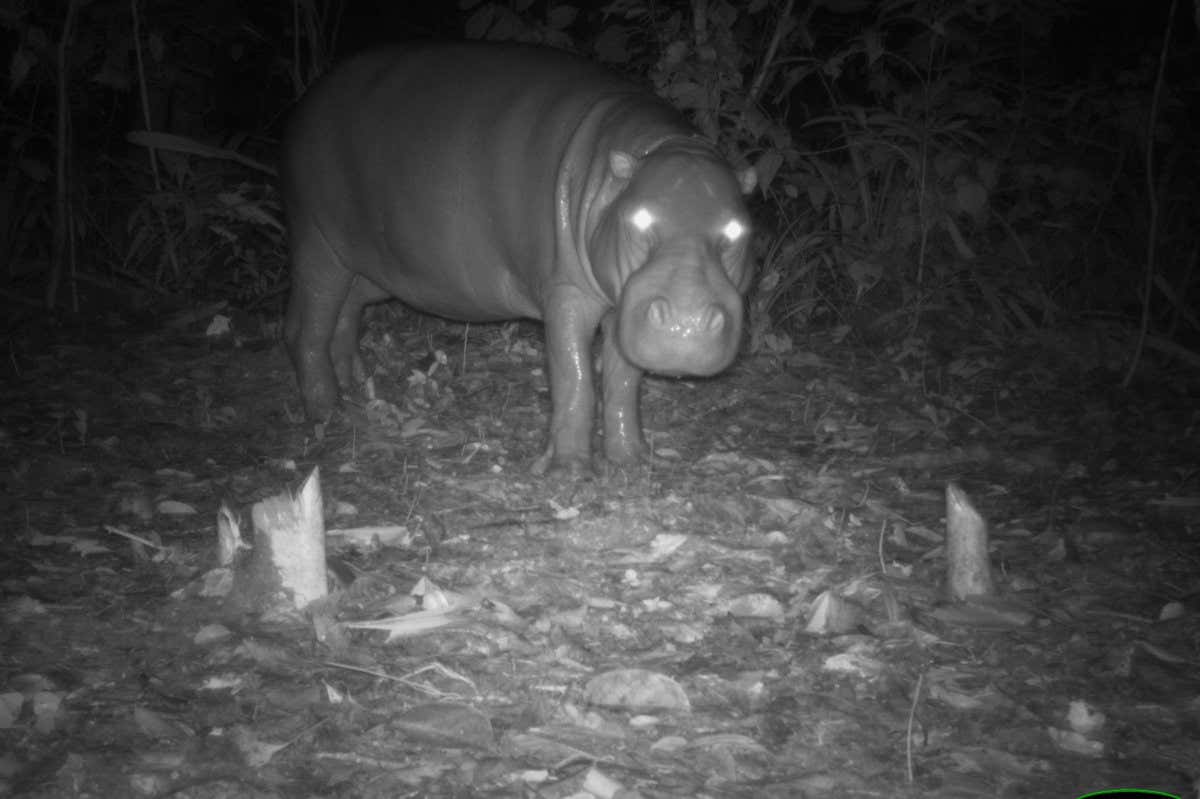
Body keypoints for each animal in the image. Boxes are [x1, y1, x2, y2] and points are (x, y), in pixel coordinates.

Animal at [281, 42, 755, 473]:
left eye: (738, 229)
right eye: (638, 217)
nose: (686, 323)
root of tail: (312, 95)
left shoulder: (625, 304)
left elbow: (623, 379)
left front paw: (632, 460)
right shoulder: (566, 291)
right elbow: (575, 377)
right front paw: (569, 471)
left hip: (366, 266)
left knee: (344, 314)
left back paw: (355, 390)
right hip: (315, 238)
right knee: (310, 323)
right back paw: (326, 412)